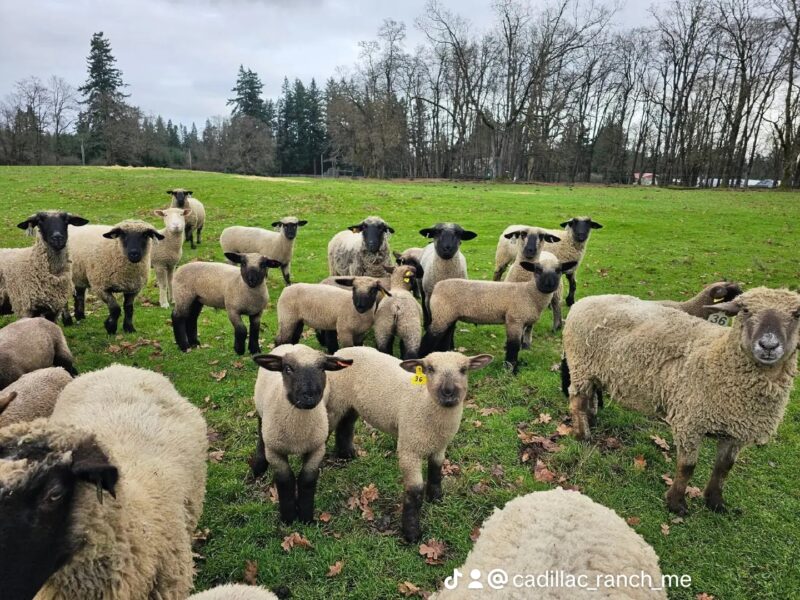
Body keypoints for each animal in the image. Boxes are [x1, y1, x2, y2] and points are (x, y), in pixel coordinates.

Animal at [249, 344, 353, 524]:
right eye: (287, 368)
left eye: (322, 367)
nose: (309, 396)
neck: (297, 433)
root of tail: (292, 345)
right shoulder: (275, 451)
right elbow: (285, 481)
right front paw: (288, 518)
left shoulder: (317, 448)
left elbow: (307, 480)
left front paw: (306, 518)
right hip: (262, 414)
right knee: (261, 435)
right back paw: (258, 467)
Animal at [325, 346, 492, 542]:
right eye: (430, 369)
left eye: (464, 369)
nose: (448, 392)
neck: (424, 402)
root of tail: (343, 350)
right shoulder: (409, 450)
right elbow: (415, 491)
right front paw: (412, 532)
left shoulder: (440, 446)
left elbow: (436, 471)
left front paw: (436, 498)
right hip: (335, 401)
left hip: (351, 404)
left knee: (346, 424)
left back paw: (346, 454)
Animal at [422, 255, 577, 373]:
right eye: (537, 270)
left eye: (559, 270)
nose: (549, 285)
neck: (529, 293)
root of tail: (436, 287)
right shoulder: (514, 319)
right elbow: (513, 346)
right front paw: (510, 370)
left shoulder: (521, 322)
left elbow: (519, 344)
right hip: (442, 315)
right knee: (429, 338)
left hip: (447, 315)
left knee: (445, 336)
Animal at [561, 287, 800, 515]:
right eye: (745, 310)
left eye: (797, 314)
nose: (768, 345)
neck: (718, 356)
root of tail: (586, 300)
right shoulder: (690, 421)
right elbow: (687, 467)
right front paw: (676, 503)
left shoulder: (737, 432)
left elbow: (723, 468)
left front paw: (715, 502)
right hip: (581, 365)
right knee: (577, 401)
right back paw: (583, 435)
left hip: (594, 371)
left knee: (591, 394)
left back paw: (591, 420)